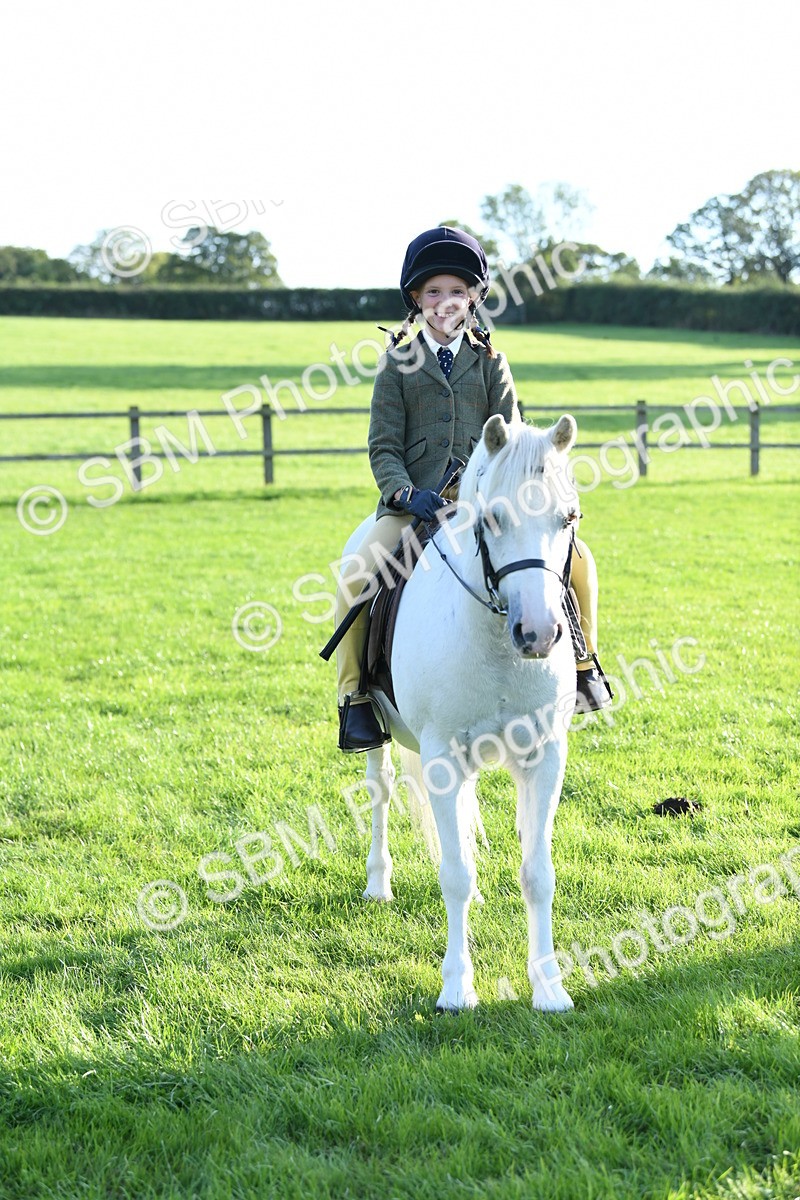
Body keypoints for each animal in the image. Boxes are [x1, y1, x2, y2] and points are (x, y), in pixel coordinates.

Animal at [340, 411, 580, 1012]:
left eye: (568, 517)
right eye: (493, 518)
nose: (538, 634)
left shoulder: (545, 757)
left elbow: (538, 874)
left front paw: (549, 986)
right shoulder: (444, 758)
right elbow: (455, 875)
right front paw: (456, 988)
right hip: (378, 733)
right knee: (379, 791)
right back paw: (378, 883)